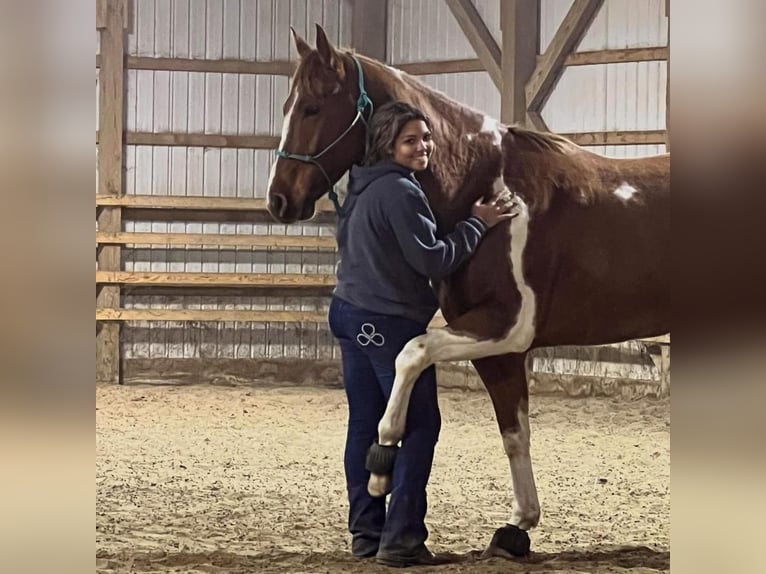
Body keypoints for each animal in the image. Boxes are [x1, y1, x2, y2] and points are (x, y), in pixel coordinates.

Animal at [266, 24, 672, 560]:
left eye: (312, 107)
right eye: (286, 105)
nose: (278, 200)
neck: (491, 188)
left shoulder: (505, 325)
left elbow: (411, 353)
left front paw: (381, 465)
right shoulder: (498, 349)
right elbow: (514, 433)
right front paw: (517, 527)